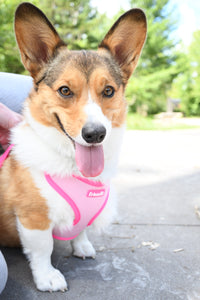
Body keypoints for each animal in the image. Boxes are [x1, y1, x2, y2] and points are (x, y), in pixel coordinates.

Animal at [0, 2, 147, 292]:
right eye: (65, 90)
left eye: (109, 91)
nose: (95, 134)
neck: (71, 166)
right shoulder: (34, 218)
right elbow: (43, 250)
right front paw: (48, 278)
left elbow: (81, 232)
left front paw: (82, 247)